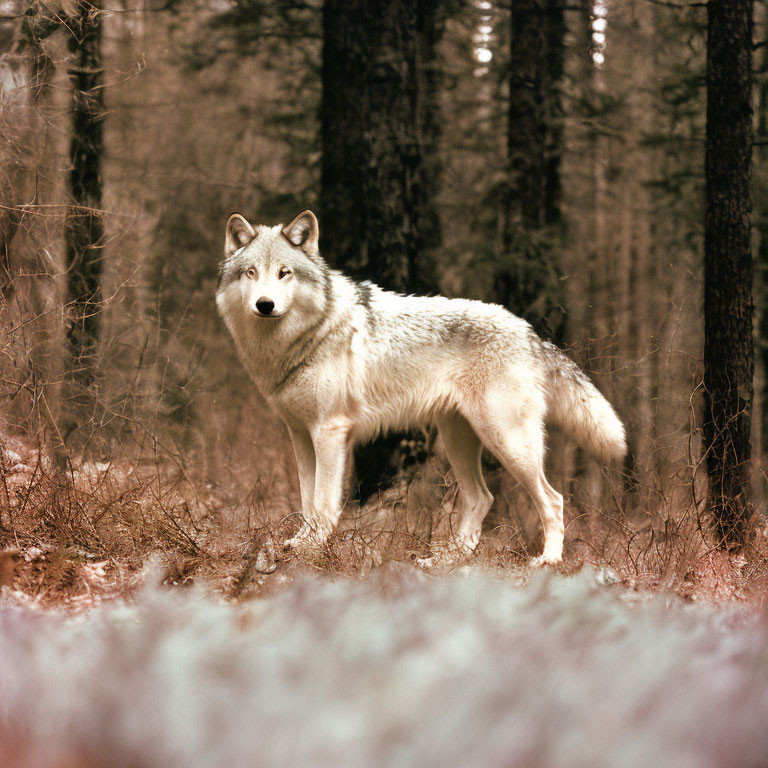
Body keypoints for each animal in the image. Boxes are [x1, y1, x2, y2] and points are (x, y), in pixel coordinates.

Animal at [214, 208, 624, 564]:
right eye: (251, 272)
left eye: (284, 273)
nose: (264, 304)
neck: (307, 336)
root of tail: (529, 331)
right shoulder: (300, 434)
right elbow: (306, 499)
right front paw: (299, 542)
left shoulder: (329, 432)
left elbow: (324, 502)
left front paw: (312, 549)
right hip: (461, 440)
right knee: (481, 498)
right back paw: (446, 558)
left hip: (507, 442)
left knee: (553, 500)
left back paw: (548, 561)